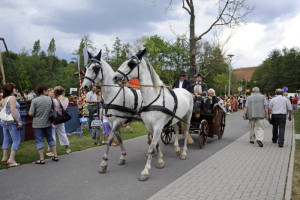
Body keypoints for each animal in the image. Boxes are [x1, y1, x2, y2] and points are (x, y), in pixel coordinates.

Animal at [113, 48, 195, 181]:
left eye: (131, 63)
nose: (115, 77)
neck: (152, 98)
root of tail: (186, 92)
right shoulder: (150, 126)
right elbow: (155, 144)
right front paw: (160, 161)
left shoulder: (158, 126)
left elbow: (152, 147)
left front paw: (145, 171)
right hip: (174, 118)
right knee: (177, 130)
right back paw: (177, 149)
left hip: (187, 116)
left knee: (186, 131)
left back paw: (183, 152)